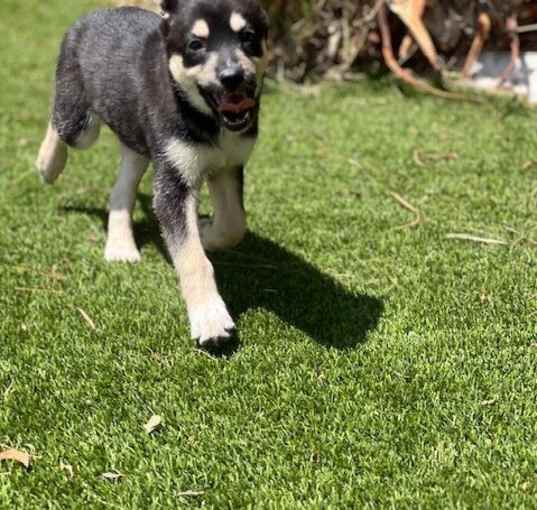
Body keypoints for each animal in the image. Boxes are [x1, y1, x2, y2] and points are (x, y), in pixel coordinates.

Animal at [35, 0, 268, 346]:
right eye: (195, 45)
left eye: (248, 37)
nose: (232, 77)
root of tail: (98, 12)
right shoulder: (173, 184)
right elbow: (191, 257)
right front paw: (209, 318)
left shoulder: (227, 166)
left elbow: (234, 224)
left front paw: (207, 233)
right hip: (81, 125)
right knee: (58, 120)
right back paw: (47, 165)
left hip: (139, 141)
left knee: (122, 187)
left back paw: (120, 246)